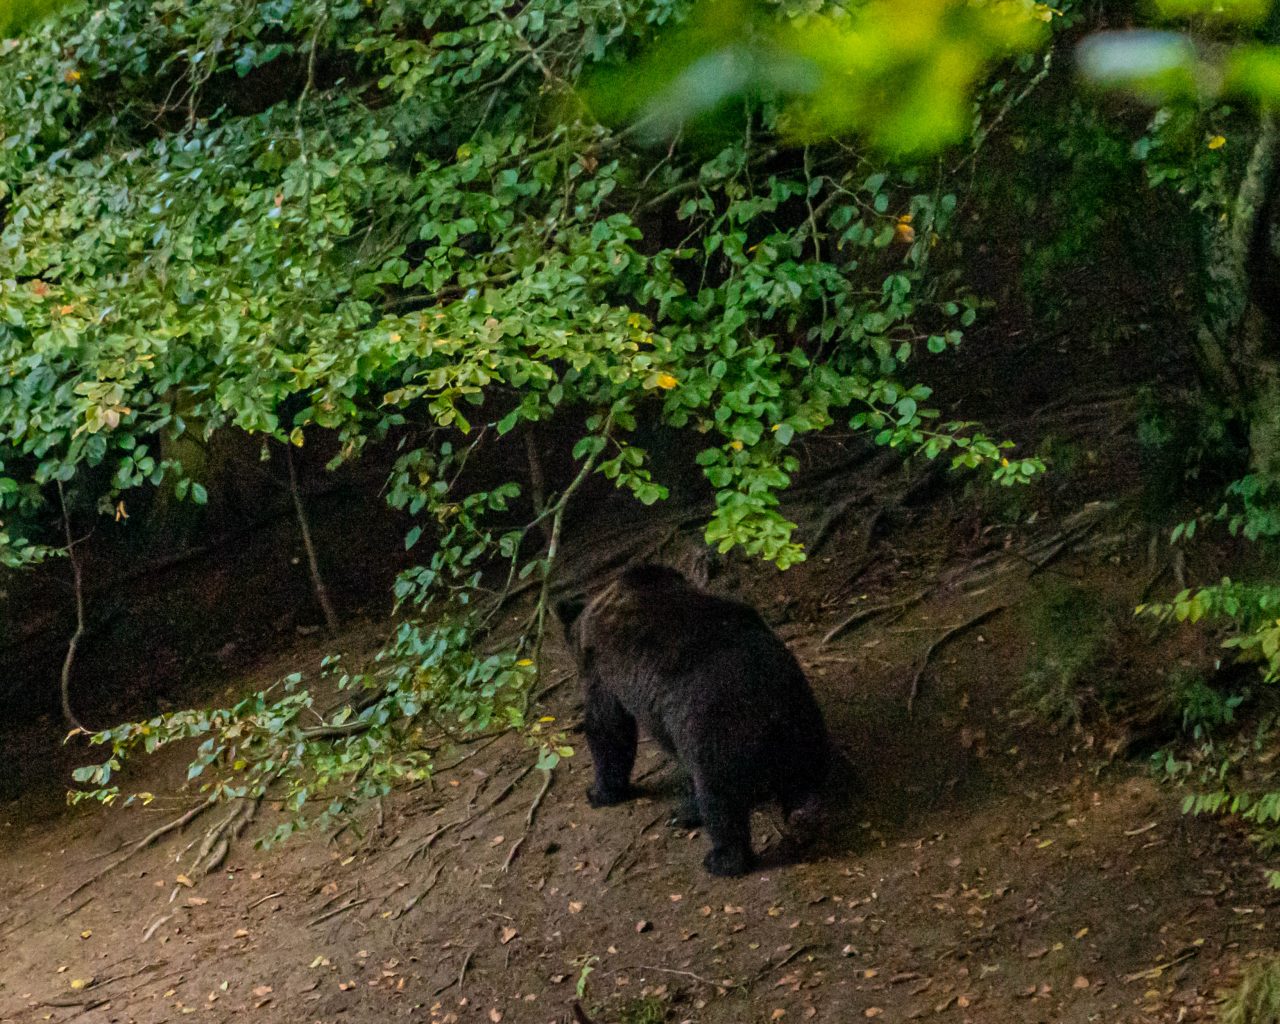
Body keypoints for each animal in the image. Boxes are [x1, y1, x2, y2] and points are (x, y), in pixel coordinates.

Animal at [558, 563, 829, 875]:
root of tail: (774, 709)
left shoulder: (605, 669)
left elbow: (608, 728)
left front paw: (600, 791)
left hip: (715, 728)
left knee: (718, 797)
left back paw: (720, 856)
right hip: (804, 722)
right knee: (803, 778)